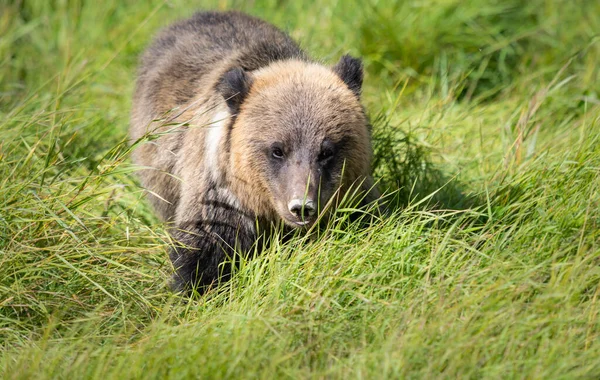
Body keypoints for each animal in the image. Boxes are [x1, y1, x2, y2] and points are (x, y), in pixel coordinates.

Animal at [131, 10, 378, 292]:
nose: (301, 207)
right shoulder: (220, 197)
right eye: (277, 150)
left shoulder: (355, 190)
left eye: (327, 151)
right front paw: (197, 284)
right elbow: (205, 250)